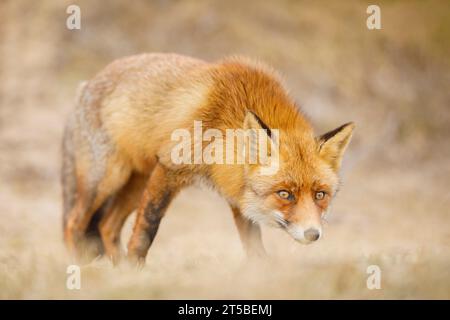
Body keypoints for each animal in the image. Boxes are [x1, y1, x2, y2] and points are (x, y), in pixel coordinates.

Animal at [60, 52, 356, 262]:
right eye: (285, 194)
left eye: (320, 195)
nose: (313, 234)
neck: (226, 119)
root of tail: (84, 85)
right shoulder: (169, 168)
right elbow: (146, 229)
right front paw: (136, 270)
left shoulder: (238, 192)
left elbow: (253, 246)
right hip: (107, 179)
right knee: (74, 223)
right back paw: (80, 268)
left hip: (136, 185)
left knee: (107, 227)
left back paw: (116, 269)